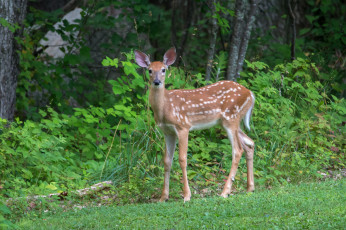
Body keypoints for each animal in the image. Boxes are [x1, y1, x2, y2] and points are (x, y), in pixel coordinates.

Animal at [134, 47, 254, 202]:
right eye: (149, 70)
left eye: (163, 69)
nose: (156, 81)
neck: (165, 107)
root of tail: (251, 94)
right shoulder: (168, 131)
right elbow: (167, 161)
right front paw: (163, 197)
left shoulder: (183, 126)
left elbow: (182, 159)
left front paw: (187, 195)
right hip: (230, 122)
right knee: (249, 144)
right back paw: (250, 188)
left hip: (231, 118)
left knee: (238, 150)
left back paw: (225, 192)